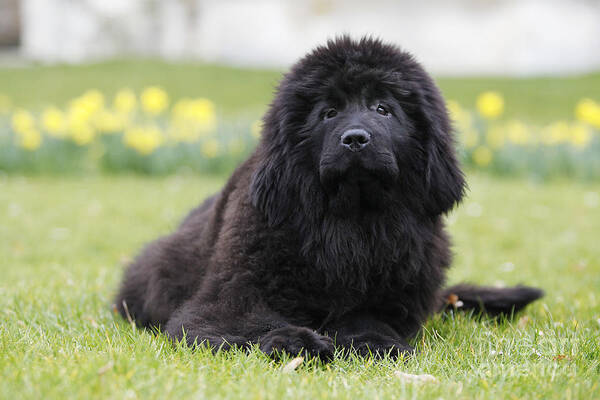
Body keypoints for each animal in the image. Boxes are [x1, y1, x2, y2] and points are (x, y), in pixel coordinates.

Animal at [113, 36, 544, 358]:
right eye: (329, 112)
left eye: (383, 109)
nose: (355, 139)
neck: (351, 220)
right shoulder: (223, 301)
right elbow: (251, 321)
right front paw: (293, 341)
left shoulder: (392, 300)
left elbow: (365, 319)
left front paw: (374, 343)